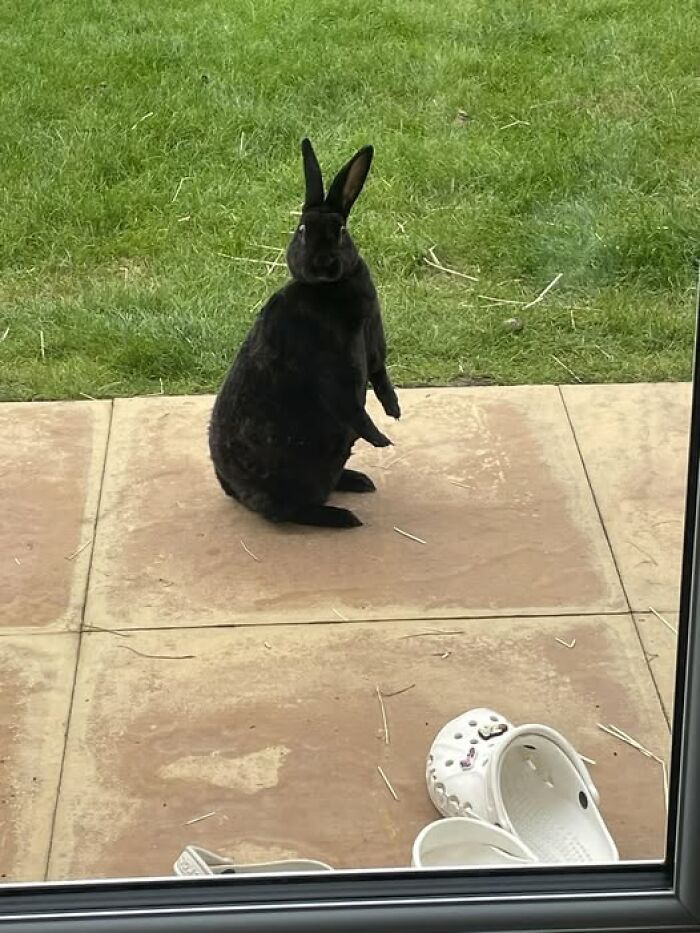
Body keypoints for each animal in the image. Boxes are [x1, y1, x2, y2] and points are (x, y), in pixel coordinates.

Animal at [209, 137, 400, 529]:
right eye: (301, 231)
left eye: (340, 231)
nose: (323, 263)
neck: (328, 289)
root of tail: (231, 488)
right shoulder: (331, 368)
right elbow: (350, 404)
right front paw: (381, 439)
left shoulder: (373, 342)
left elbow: (380, 375)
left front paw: (395, 410)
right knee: (287, 511)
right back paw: (342, 517)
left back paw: (359, 483)